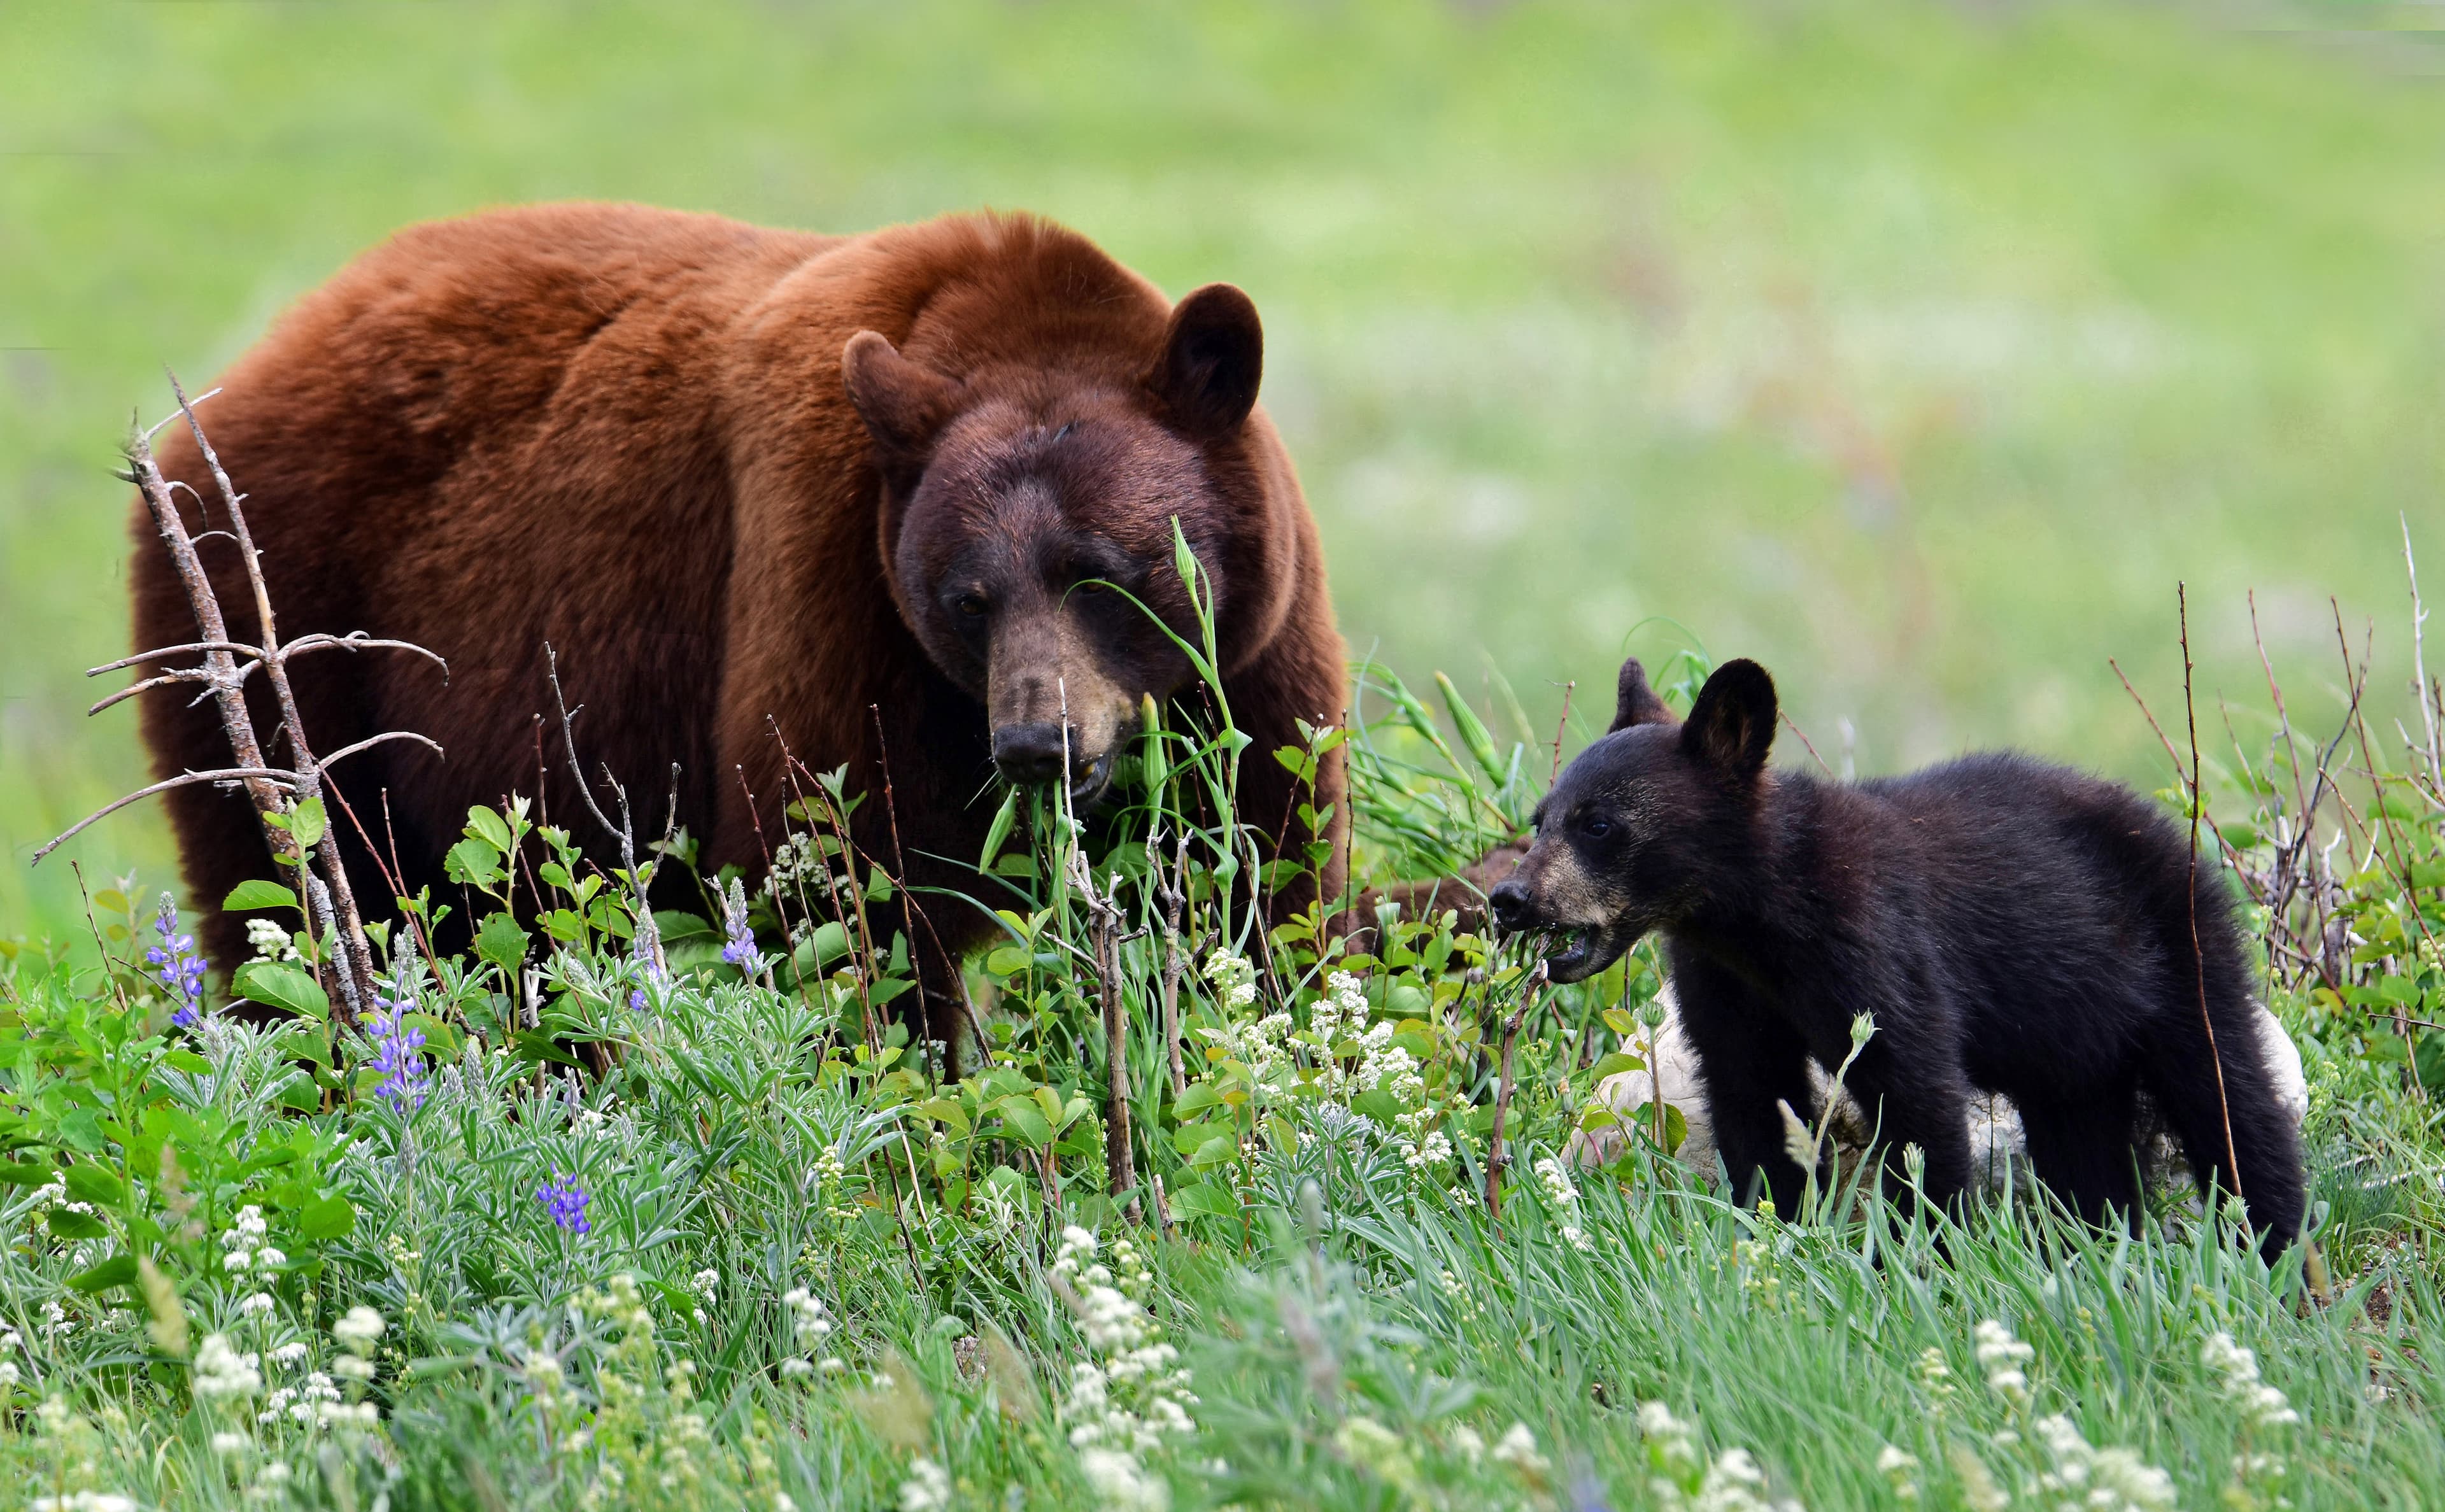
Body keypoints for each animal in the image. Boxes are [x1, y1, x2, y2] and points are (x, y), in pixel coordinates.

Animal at [132, 203, 1347, 1063]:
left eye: (1101, 576)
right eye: (968, 597)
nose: (1036, 745)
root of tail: (261, 356)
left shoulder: (1245, 663)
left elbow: (1266, 866)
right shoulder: (830, 580)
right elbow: (840, 888)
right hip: (286, 625)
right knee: (289, 891)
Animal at [1488, 655, 2309, 1261]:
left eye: (1598, 824)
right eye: (1541, 817)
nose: (1509, 897)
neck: (1761, 915)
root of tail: (2175, 830)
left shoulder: (1876, 940)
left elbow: (1915, 1095)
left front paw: (1927, 1257)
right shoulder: (1723, 983)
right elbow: (1752, 1098)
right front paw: (1777, 1229)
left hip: (2184, 956)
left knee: (2231, 1104)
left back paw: (2278, 1259)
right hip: (2072, 1050)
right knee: (2088, 1156)